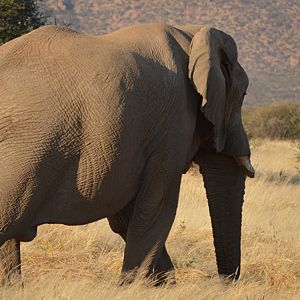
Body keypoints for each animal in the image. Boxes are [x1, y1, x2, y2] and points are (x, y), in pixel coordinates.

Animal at [0, 22, 253, 284]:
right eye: (243, 95)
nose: (222, 284)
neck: (192, 34)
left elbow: (126, 217)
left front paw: (161, 285)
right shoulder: (173, 126)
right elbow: (156, 210)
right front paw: (134, 287)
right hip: (27, 150)